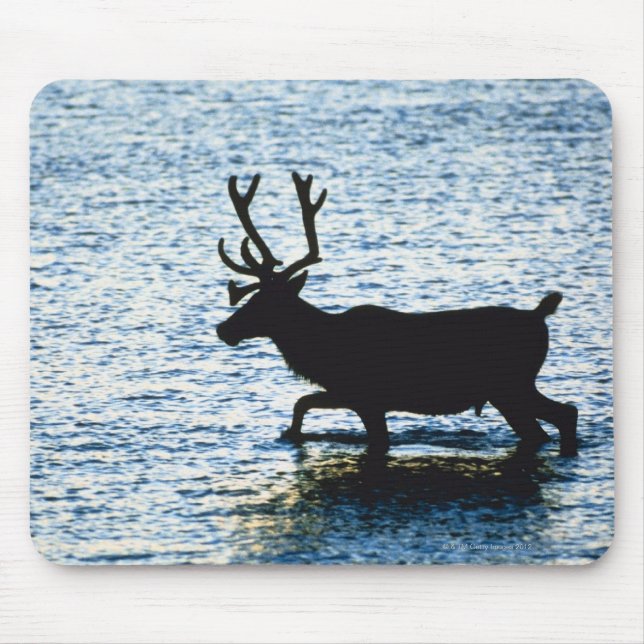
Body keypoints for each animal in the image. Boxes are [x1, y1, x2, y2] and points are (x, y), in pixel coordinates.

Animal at [216, 172, 578, 456]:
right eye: (253, 297)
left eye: (266, 303)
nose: (223, 328)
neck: (323, 352)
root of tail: (539, 316)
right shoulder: (352, 395)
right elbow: (303, 401)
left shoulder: (366, 397)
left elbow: (306, 404)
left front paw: (291, 434)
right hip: (510, 390)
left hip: (512, 385)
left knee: (566, 414)